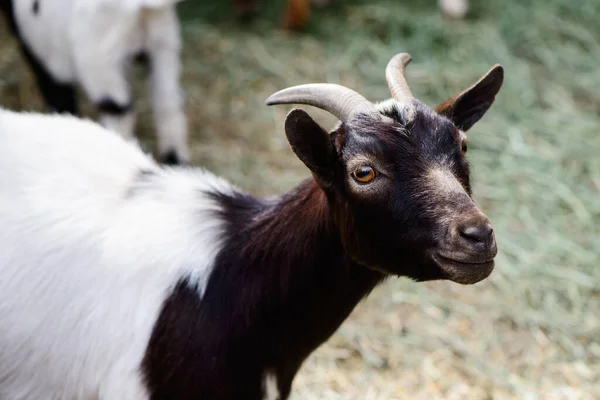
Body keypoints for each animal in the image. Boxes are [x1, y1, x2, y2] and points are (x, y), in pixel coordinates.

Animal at [0, 0, 188, 164]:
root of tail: (139, 5)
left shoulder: (42, 57)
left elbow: (58, 99)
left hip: (101, 59)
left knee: (119, 114)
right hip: (163, 45)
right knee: (167, 107)